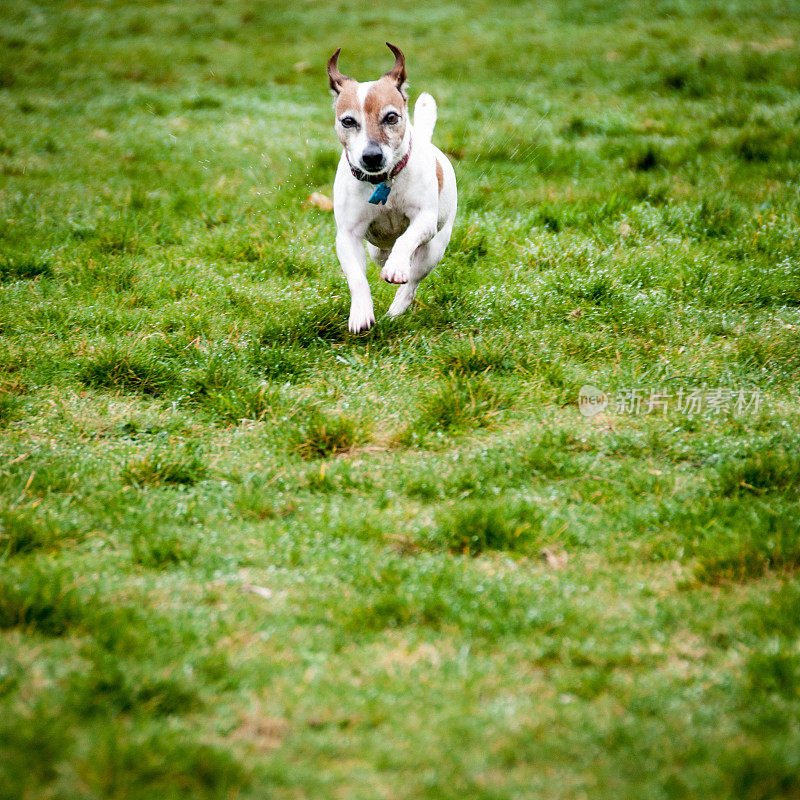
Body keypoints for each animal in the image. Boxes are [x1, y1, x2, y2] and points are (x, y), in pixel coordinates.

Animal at [324, 42, 456, 332]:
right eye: (348, 121)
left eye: (391, 117)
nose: (372, 156)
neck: (384, 181)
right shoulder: (347, 236)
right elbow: (356, 277)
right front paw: (360, 313)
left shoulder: (424, 219)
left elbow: (407, 239)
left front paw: (396, 266)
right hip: (374, 249)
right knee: (380, 254)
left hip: (433, 249)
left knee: (412, 280)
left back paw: (396, 309)